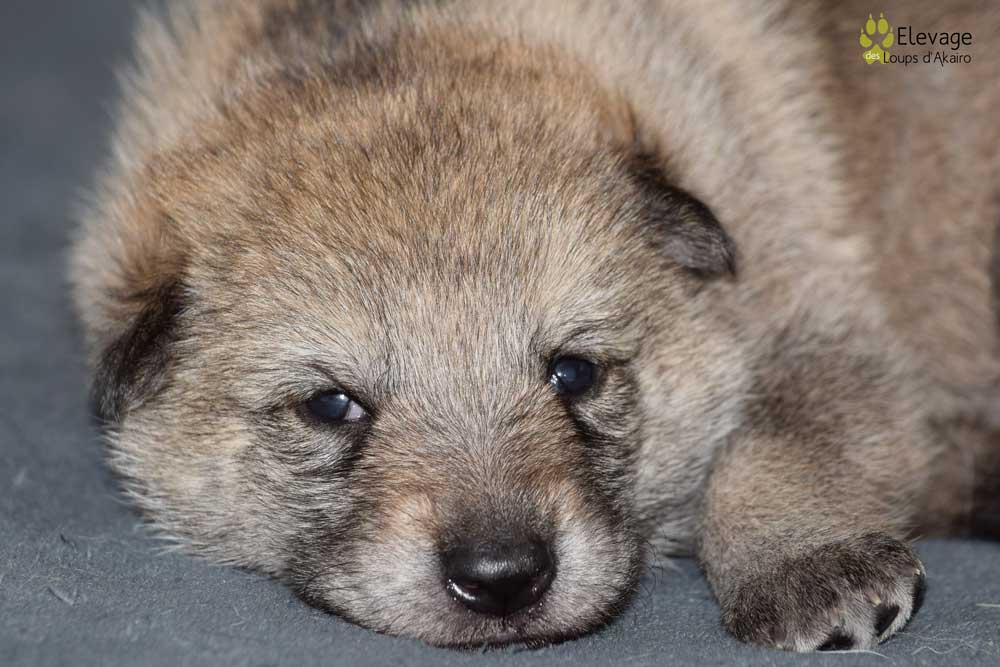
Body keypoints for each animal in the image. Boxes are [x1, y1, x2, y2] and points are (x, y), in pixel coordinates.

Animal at [71, 0, 1000, 651]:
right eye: (331, 406)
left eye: (573, 371)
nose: (503, 579)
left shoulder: (818, 319)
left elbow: (775, 444)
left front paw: (803, 563)